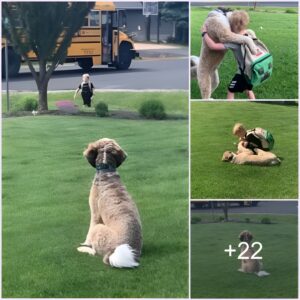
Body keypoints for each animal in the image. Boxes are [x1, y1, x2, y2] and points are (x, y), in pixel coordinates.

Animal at [77, 138, 143, 268]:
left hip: (99, 229)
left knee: (95, 251)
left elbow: (89, 232)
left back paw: (83, 249)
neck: (106, 168)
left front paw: (85, 243)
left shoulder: (95, 214)